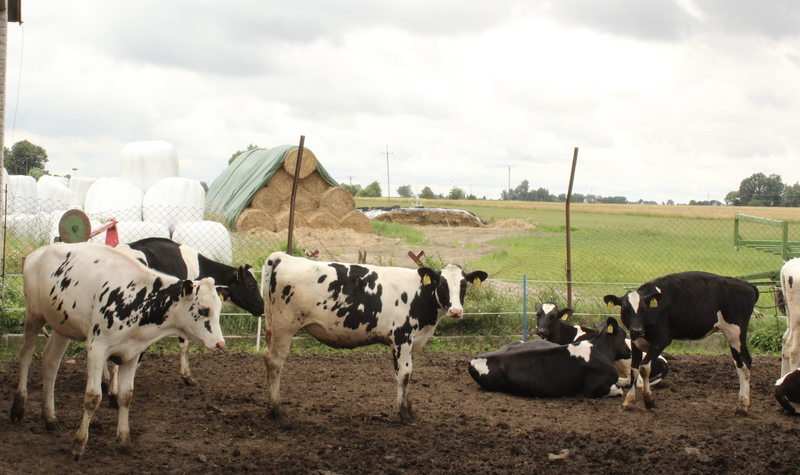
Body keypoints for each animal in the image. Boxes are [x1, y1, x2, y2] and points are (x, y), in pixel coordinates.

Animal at [10, 242, 227, 462]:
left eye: (218, 309)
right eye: (203, 309)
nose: (220, 343)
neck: (137, 299)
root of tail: (37, 253)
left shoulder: (133, 353)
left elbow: (126, 396)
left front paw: (124, 439)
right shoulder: (97, 349)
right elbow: (93, 398)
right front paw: (78, 444)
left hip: (62, 327)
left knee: (51, 362)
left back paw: (50, 417)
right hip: (33, 316)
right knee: (26, 354)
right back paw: (19, 406)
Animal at [264, 251, 488, 426]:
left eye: (464, 285)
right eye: (441, 285)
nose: (456, 311)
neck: (418, 296)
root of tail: (282, 257)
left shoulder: (410, 341)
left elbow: (410, 374)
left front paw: (410, 410)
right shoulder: (401, 338)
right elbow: (404, 375)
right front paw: (404, 415)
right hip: (284, 327)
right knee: (275, 362)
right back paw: (278, 412)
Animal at [468, 318, 632, 400]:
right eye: (624, 334)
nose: (630, 351)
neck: (599, 350)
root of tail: (475, 359)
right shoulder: (593, 388)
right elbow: (618, 390)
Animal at [604, 274, 760, 414]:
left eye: (644, 309)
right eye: (625, 309)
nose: (637, 330)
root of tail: (747, 285)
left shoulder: (661, 341)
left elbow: (644, 367)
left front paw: (649, 401)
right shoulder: (636, 342)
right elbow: (634, 369)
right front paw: (628, 401)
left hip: (735, 333)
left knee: (745, 363)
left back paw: (743, 406)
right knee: (739, 363)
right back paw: (742, 404)